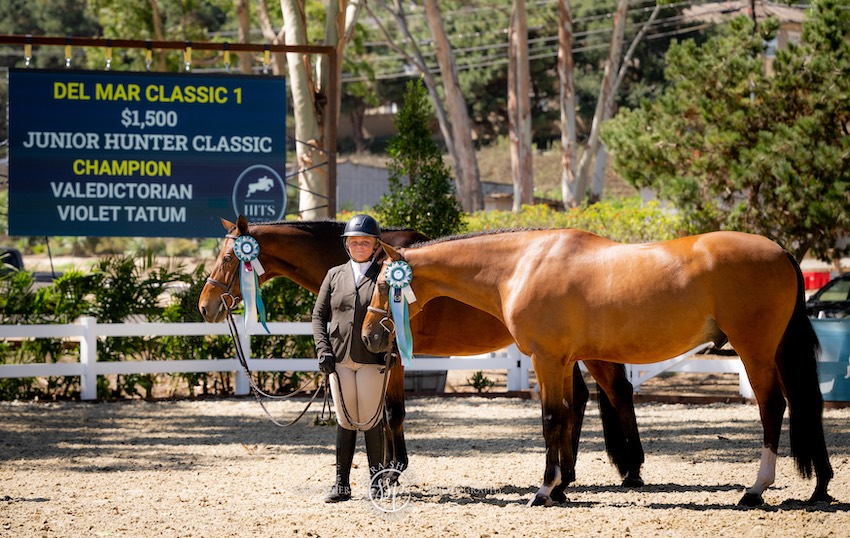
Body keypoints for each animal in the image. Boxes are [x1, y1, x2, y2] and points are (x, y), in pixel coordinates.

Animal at [199, 216, 644, 484]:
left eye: (228, 257)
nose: (205, 306)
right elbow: (384, 413)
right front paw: (391, 467)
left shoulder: (391, 354)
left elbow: (392, 412)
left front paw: (394, 470)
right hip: (559, 354)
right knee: (580, 398)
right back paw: (567, 473)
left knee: (617, 392)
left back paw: (632, 469)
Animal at [362, 228, 832, 504]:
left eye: (386, 283)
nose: (370, 337)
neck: (521, 265)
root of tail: (781, 251)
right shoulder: (562, 360)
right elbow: (566, 416)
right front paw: (560, 489)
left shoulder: (547, 359)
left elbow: (552, 419)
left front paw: (544, 490)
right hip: (775, 351)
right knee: (804, 403)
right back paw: (820, 488)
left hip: (755, 350)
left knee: (772, 406)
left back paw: (755, 489)